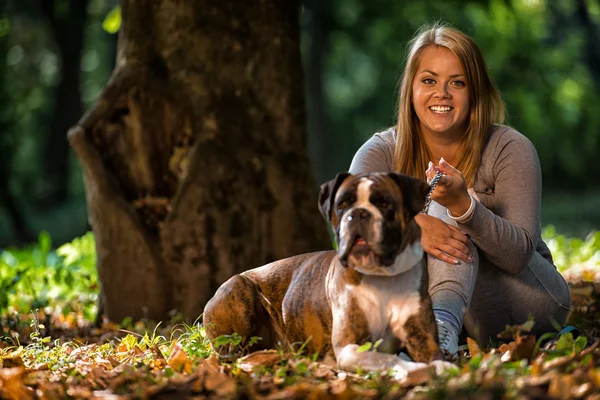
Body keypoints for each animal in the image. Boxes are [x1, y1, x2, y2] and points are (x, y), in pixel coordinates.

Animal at [202, 172, 440, 372]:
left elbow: (435, 360)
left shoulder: (424, 342)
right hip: (238, 287)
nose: (358, 213)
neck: (381, 278)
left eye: (384, 202)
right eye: (342, 204)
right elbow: (390, 360)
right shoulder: (350, 347)